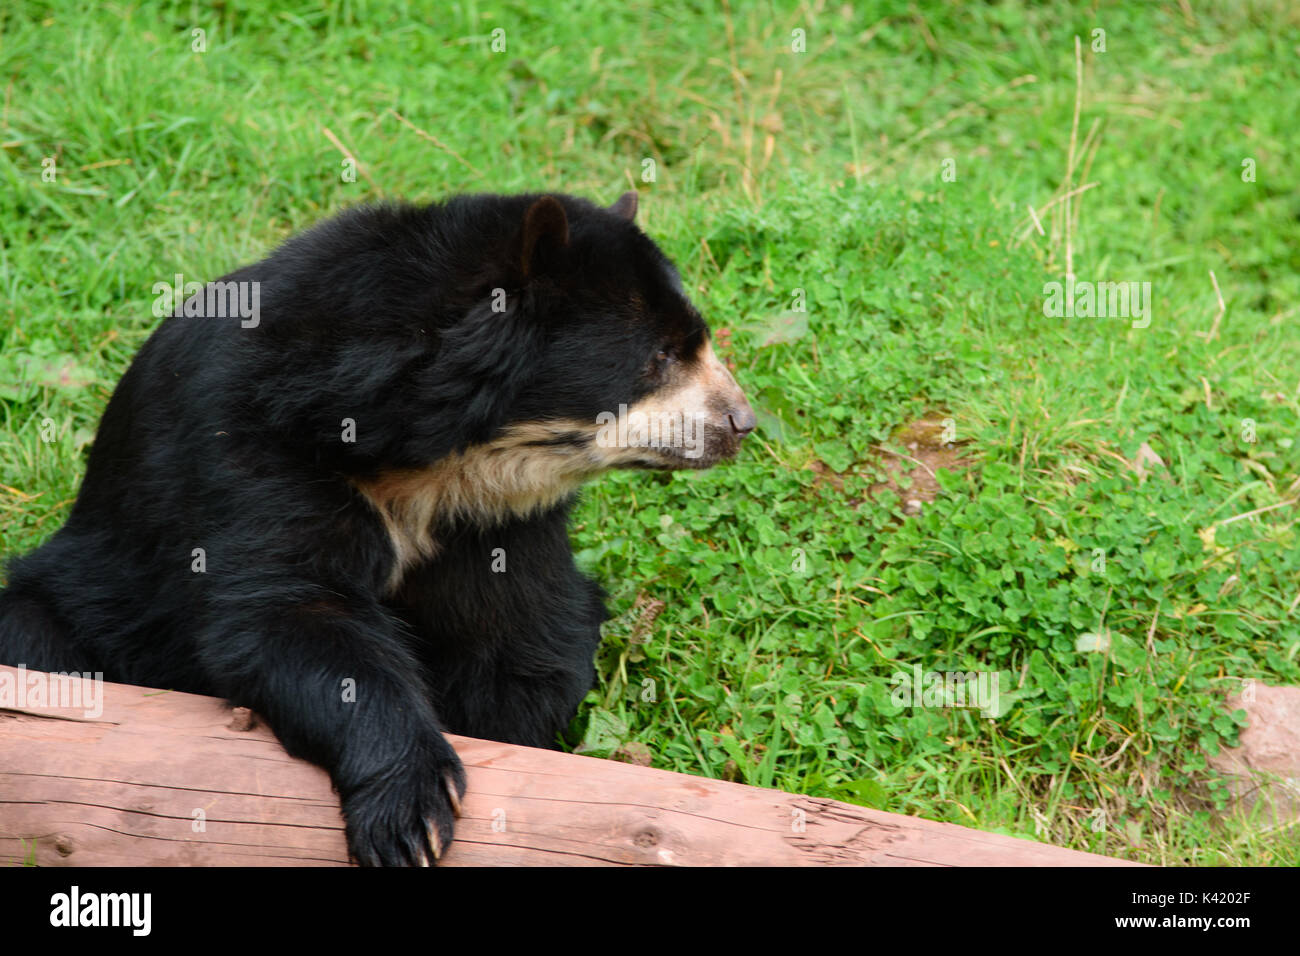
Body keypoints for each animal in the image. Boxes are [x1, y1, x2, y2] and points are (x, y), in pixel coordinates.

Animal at [0, 191, 759, 863]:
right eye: (659, 356)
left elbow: (519, 632)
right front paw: (412, 817)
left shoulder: (496, 522)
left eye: (695, 344)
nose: (741, 423)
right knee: (40, 638)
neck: (434, 458)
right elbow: (290, 612)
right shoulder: (245, 445)